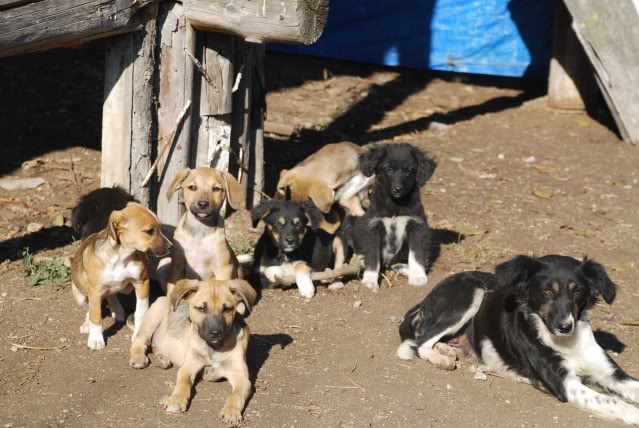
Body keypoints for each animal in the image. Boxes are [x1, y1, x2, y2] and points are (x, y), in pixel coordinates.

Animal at [71, 202, 171, 350]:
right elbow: (95, 316)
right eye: (149, 231)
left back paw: (117, 310)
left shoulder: (142, 282)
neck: (121, 257)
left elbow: (141, 311)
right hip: (81, 297)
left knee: (111, 295)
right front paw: (96, 339)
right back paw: (87, 325)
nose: (171, 246)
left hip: (125, 288)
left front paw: (139, 333)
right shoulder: (95, 292)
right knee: (89, 308)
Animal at [130, 278, 258, 424]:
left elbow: (235, 395)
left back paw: (162, 359)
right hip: (156, 311)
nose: (215, 333)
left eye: (227, 309)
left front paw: (231, 411)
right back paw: (138, 357)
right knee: (139, 340)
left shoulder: (241, 377)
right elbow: (183, 384)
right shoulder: (189, 366)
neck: (213, 348)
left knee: (155, 345)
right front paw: (176, 400)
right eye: (201, 308)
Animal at [165, 166, 245, 294]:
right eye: (192, 187)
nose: (203, 204)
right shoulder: (177, 266)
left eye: (216, 189)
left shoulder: (223, 268)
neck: (200, 233)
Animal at [352, 144, 438, 290]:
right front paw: (370, 280)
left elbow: (416, 254)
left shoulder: (417, 226)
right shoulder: (373, 227)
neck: (395, 204)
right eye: (388, 169)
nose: (398, 189)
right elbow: (372, 256)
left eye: (409, 170)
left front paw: (417, 276)